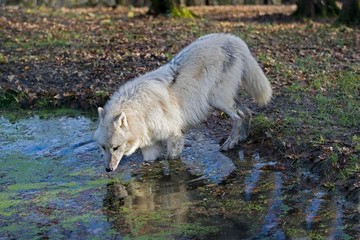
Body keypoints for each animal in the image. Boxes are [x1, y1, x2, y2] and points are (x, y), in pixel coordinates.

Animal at [94, 33, 272, 172]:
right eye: (103, 147)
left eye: (116, 147)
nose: (108, 169)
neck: (141, 112)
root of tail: (233, 38)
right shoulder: (150, 145)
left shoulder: (174, 134)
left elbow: (171, 158)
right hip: (224, 98)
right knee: (247, 111)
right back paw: (242, 137)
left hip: (217, 100)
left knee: (238, 116)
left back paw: (230, 143)